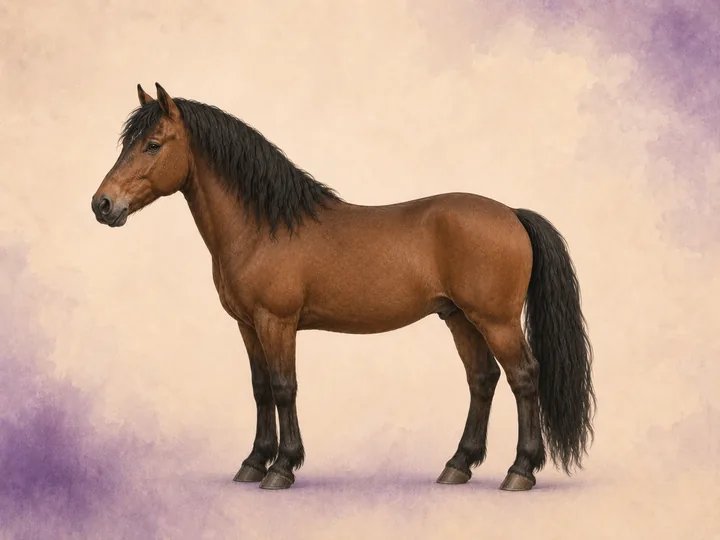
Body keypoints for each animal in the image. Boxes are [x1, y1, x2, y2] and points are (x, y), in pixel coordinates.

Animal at [91, 83, 595, 491]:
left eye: (153, 144)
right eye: (127, 143)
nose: (102, 204)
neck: (263, 227)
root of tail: (511, 213)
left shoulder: (276, 322)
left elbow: (284, 387)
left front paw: (282, 468)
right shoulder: (247, 326)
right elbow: (259, 388)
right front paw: (253, 462)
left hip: (496, 320)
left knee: (523, 377)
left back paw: (520, 471)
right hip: (459, 318)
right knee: (482, 379)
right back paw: (458, 466)